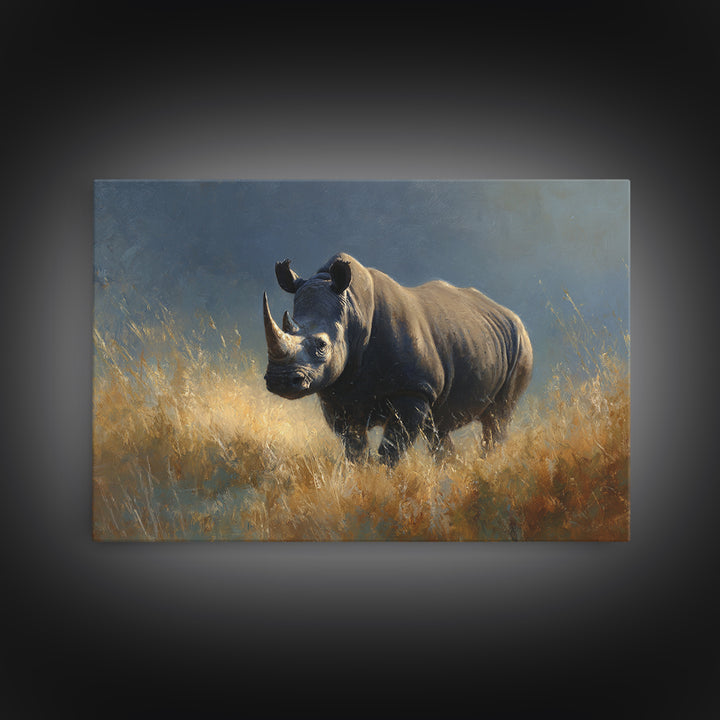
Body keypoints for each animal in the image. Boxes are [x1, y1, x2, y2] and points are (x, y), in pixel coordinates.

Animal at [263, 252, 532, 467]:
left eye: (321, 346)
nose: (279, 380)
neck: (353, 312)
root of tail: (509, 314)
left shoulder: (414, 389)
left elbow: (391, 449)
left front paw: (384, 481)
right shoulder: (336, 396)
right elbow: (355, 448)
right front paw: (362, 478)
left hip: (521, 345)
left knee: (497, 418)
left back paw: (489, 466)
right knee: (438, 428)